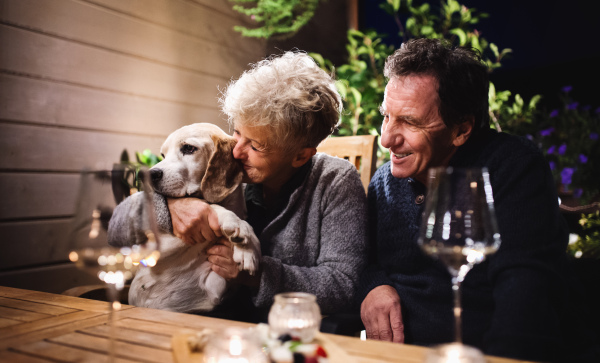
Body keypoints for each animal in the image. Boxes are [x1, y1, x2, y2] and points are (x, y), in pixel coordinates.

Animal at [110, 123, 260, 314]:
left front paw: (246, 248)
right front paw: (240, 229)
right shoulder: (153, 248)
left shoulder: (215, 287)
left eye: (188, 148)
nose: (148, 175)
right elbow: (209, 206)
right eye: (163, 155)